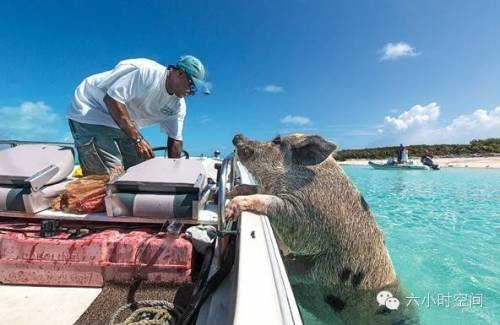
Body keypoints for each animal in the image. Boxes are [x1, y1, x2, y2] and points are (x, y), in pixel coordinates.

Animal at [226, 133, 418, 322]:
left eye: (276, 141)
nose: (237, 135)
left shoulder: (309, 215)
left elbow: (281, 211)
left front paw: (231, 208)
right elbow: (257, 189)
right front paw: (231, 192)